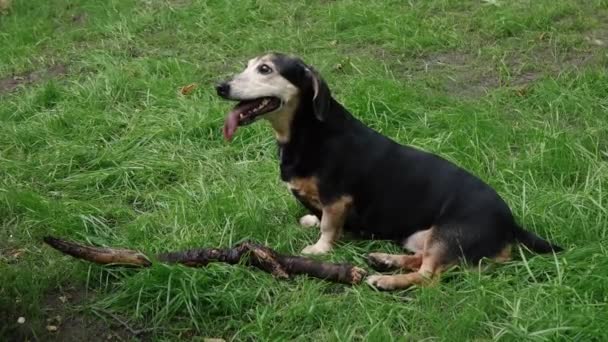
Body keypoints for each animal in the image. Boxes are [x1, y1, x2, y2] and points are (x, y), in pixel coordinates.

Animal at [216, 52, 564, 290]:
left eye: (265, 69)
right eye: (248, 65)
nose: (219, 86)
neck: (307, 131)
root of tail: (512, 225)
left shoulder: (337, 199)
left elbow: (329, 226)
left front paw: (319, 249)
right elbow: (319, 216)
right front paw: (310, 221)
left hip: (448, 234)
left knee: (428, 276)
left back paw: (385, 280)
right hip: (419, 237)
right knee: (420, 259)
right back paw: (385, 259)